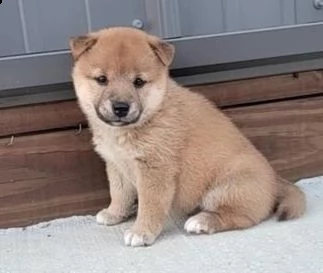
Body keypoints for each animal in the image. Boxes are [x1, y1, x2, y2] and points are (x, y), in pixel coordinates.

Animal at [69, 27, 306, 246]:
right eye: (102, 79)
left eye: (139, 82)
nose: (120, 108)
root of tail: (275, 181)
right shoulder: (116, 164)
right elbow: (119, 193)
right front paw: (114, 213)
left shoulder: (155, 169)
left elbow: (150, 205)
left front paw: (141, 232)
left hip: (228, 188)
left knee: (240, 217)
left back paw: (202, 221)